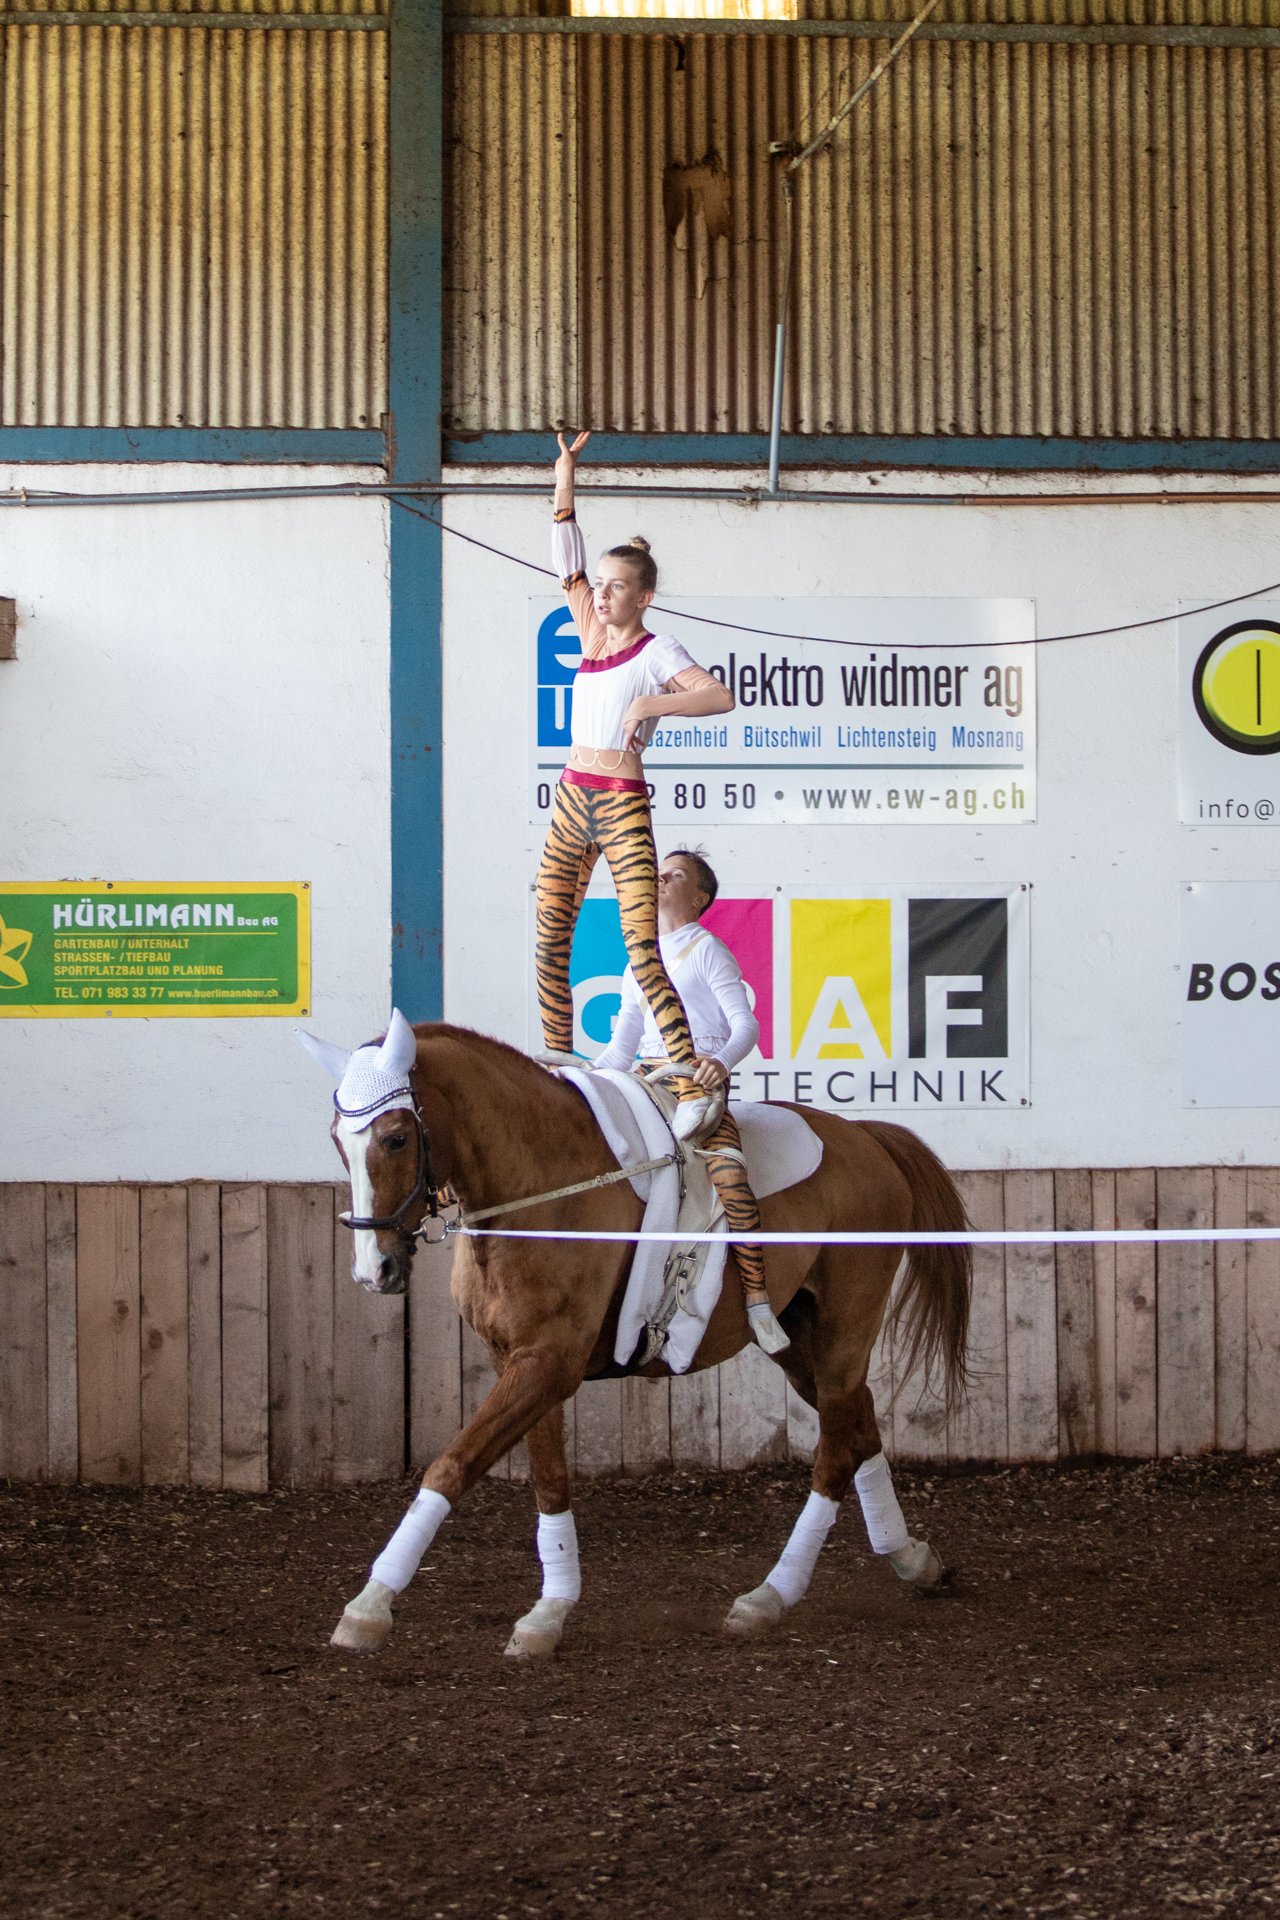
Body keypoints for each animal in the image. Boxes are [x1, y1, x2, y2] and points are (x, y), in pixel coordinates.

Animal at [304, 1016, 971, 1660]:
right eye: (337, 1138)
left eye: (396, 1137)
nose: (373, 1270)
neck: (542, 1186)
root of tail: (868, 1137)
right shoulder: (520, 1359)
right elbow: (549, 1480)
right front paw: (549, 1613)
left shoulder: (549, 1362)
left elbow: (451, 1466)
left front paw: (368, 1607)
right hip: (799, 1341)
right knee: (859, 1419)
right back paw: (912, 1559)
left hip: (843, 1329)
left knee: (834, 1452)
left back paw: (770, 1595)